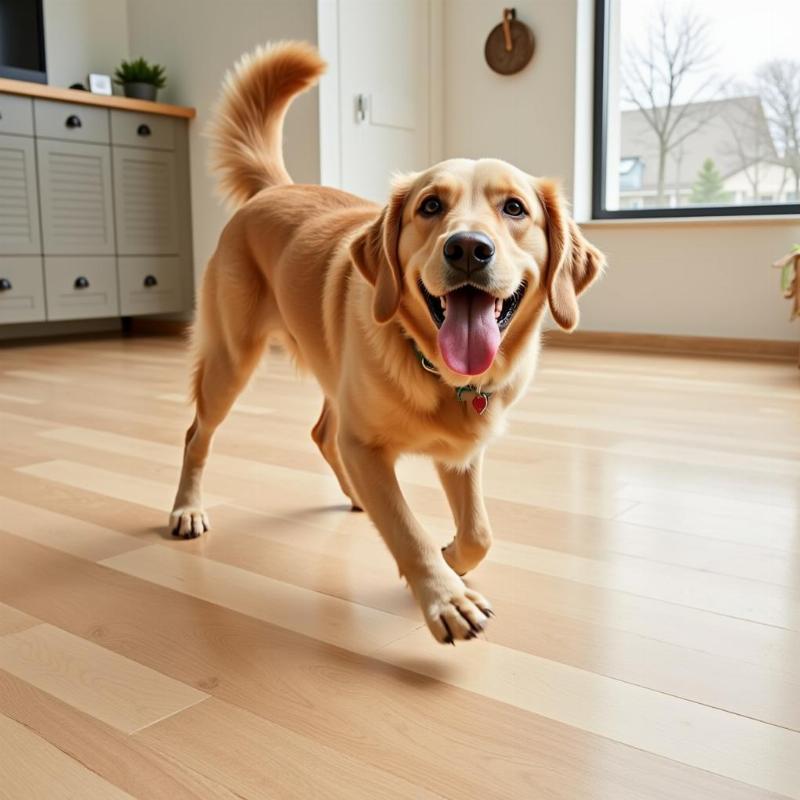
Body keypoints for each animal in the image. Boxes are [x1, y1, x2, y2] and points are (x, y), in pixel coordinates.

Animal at [170, 42, 608, 644]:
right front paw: (445, 597)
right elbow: (405, 527)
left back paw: (356, 496)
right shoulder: (366, 442)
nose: (467, 249)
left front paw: (453, 558)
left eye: (514, 208)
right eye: (430, 206)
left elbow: (480, 532)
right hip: (232, 360)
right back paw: (187, 508)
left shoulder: (459, 453)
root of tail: (276, 189)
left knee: (322, 433)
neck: (437, 369)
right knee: (198, 434)